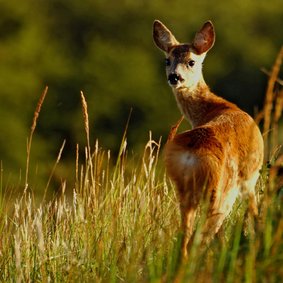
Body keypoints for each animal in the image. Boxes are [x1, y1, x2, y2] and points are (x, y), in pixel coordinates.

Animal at [154, 19, 266, 260]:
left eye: (191, 61)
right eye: (168, 60)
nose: (174, 77)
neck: (215, 107)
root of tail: (191, 157)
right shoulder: (250, 177)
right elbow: (255, 213)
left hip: (184, 193)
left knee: (185, 238)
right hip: (220, 192)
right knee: (202, 238)